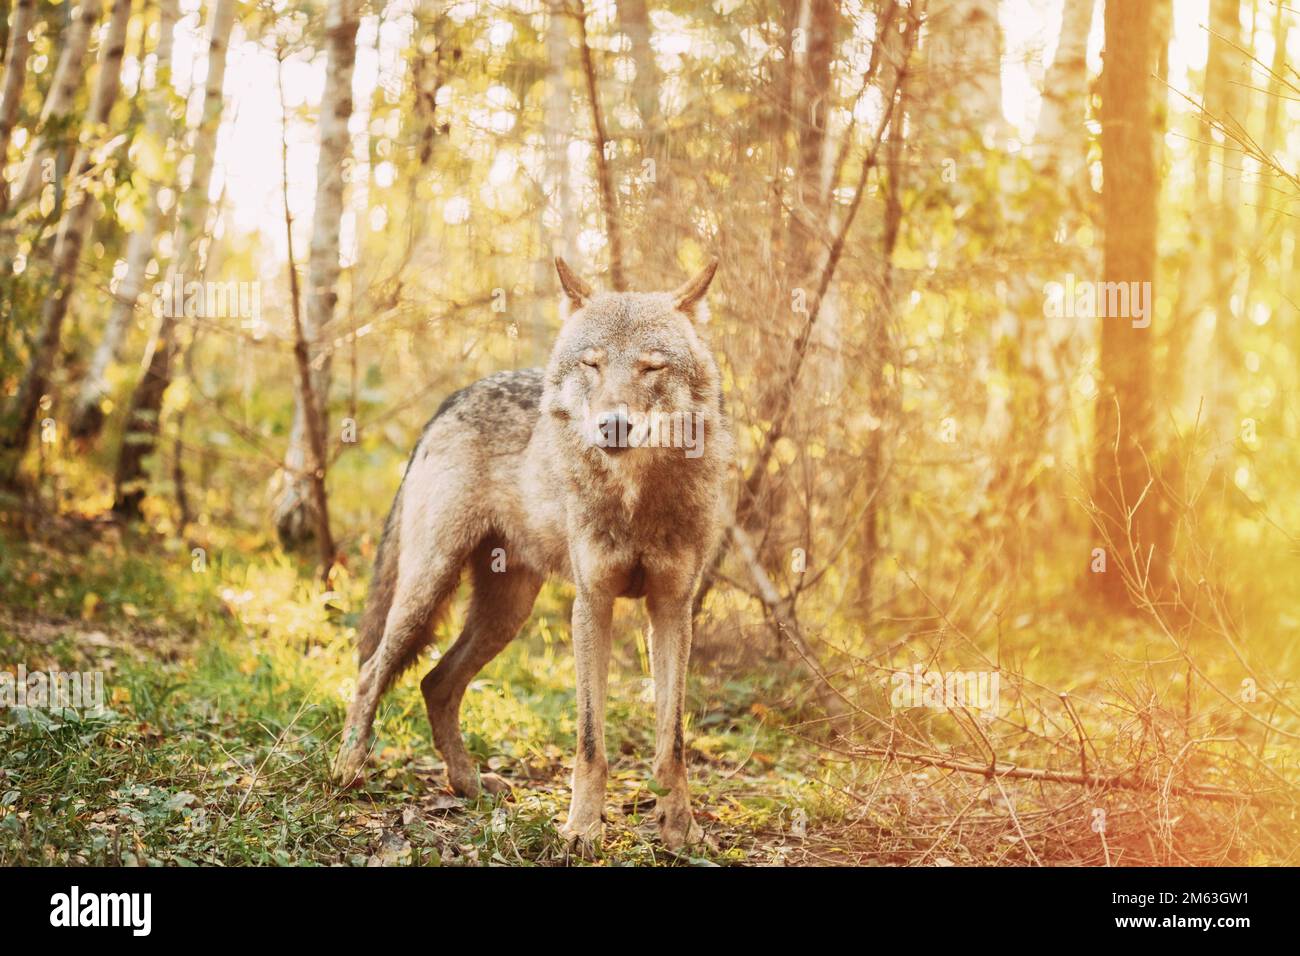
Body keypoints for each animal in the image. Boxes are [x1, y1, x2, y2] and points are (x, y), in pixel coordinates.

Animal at [332, 256, 733, 853]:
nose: (613, 424)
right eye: (592, 364)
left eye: (651, 367)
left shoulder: (672, 609)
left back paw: (469, 783)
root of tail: (451, 400)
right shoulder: (592, 605)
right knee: (370, 672)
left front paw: (680, 830)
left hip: (506, 613)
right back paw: (347, 768)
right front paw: (582, 829)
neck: (636, 497)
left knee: (435, 683)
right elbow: (591, 743)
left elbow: (673, 744)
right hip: (427, 589)